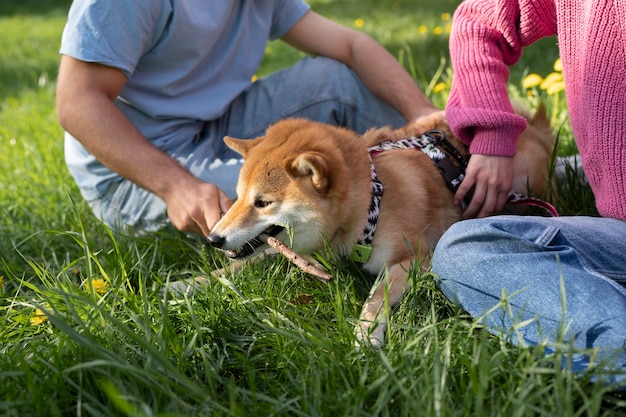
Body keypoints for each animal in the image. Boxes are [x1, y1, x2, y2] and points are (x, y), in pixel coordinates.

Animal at [186, 106, 556, 348]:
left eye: (262, 202)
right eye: (238, 197)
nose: (213, 238)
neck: (369, 203)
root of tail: (532, 123)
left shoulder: (416, 258)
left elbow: (378, 295)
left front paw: (365, 333)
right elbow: (241, 264)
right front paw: (188, 284)